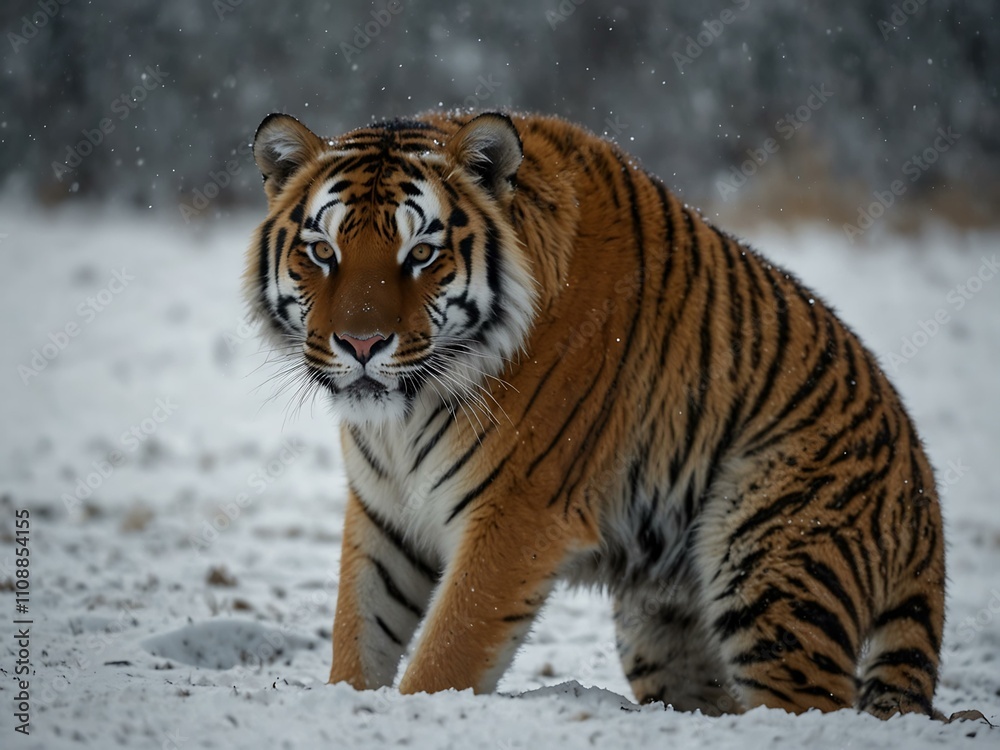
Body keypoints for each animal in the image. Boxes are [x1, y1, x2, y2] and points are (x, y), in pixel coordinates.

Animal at [242, 109, 945, 718]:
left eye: (420, 254)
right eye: (322, 251)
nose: (361, 344)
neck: (406, 416)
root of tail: (925, 495)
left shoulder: (517, 514)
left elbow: (449, 648)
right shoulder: (385, 512)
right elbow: (358, 632)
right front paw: (349, 700)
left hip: (771, 567)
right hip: (662, 626)